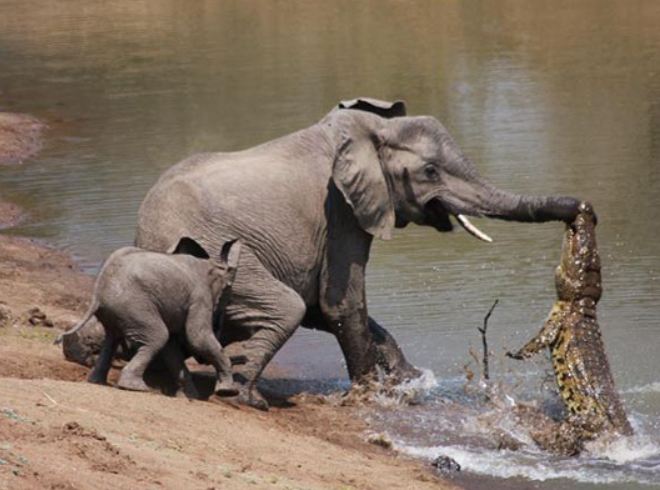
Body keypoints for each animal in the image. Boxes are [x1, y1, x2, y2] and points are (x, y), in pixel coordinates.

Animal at [57, 237, 240, 398]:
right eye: (228, 288)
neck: (211, 264)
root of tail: (97, 292)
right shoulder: (200, 297)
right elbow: (197, 338)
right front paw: (228, 392)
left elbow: (172, 349)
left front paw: (190, 397)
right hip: (134, 305)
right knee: (157, 336)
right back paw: (136, 387)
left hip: (118, 310)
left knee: (113, 339)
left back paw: (97, 382)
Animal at [137, 97, 580, 408]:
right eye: (430, 172)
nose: (580, 209)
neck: (370, 131)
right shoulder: (341, 211)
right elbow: (340, 303)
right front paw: (371, 396)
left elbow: (324, 308)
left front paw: (410, 381)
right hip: (214, 253)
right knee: (285, 307)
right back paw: (246, 398)